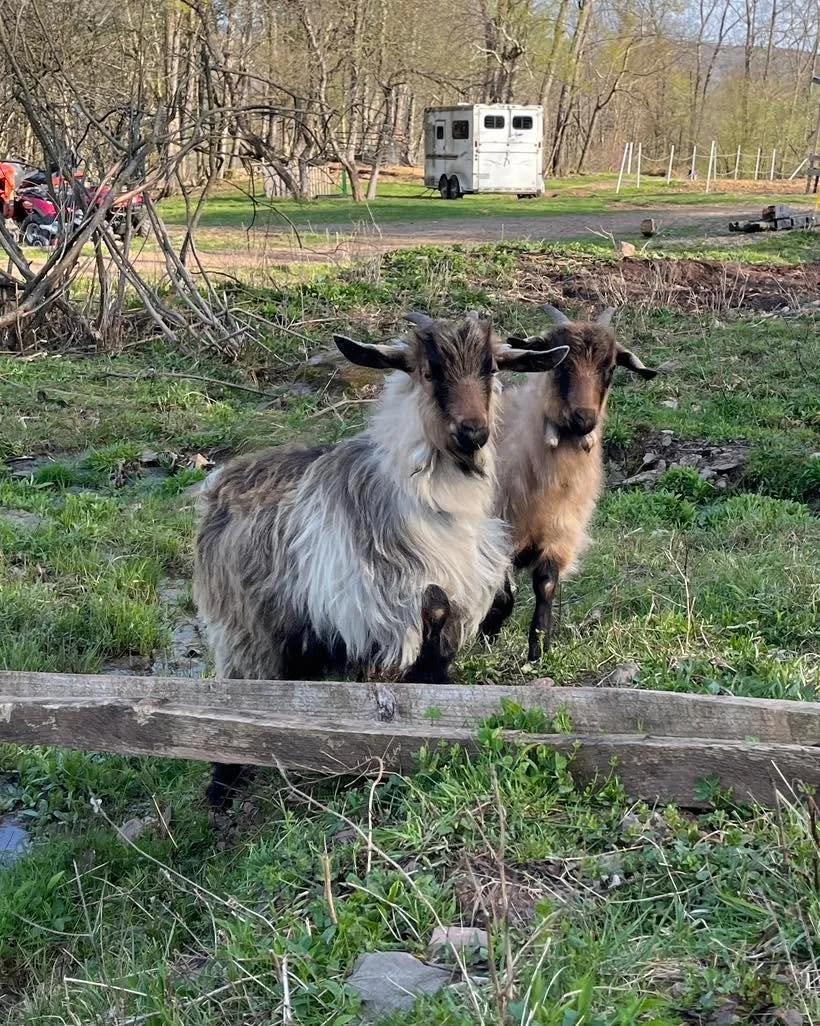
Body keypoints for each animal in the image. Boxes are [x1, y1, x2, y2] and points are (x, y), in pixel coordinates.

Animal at [194, 313, 569, 807]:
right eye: (429, 372)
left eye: (490, 370)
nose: (473, 431)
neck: (435, 506)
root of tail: (218, 483)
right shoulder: (378, 597)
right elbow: (432, 607)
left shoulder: (464, 583)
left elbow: (455, 626)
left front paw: (437, 682)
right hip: (241, 626)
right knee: (240, 685)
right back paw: (222, 784)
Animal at [481, 305, 658, 661]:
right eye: (561, 365)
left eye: (609, 368)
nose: (584, 419)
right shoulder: (499, 528)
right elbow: (503, 596)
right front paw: (487, 634)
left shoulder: (561, 534)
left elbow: (546, 585)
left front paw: (539, 650)